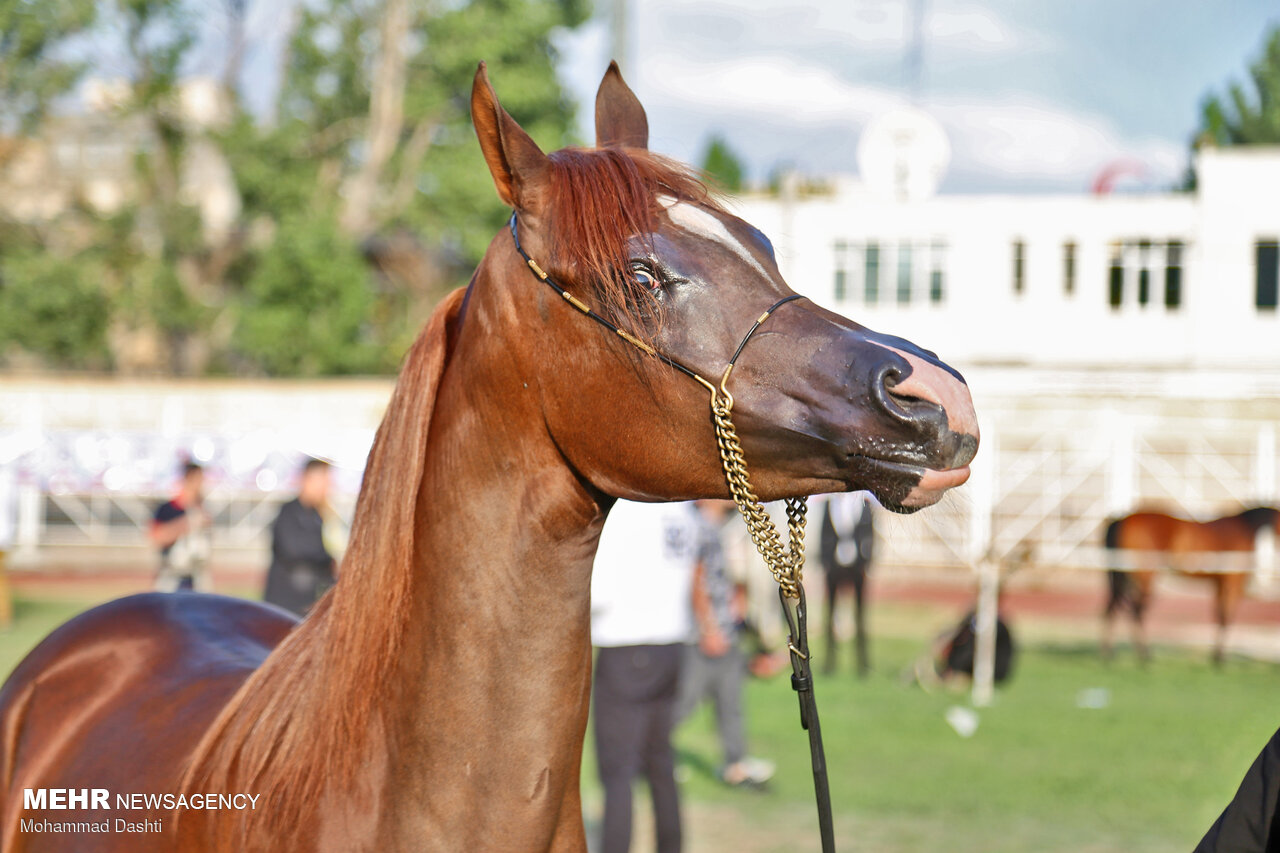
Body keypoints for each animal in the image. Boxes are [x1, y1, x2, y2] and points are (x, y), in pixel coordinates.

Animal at [1100, 504, 1280, 666]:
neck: (1245, 528)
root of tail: (1121, 519)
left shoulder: (1220, 583)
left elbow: (1219, 614)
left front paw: (1215, 657)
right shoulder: (1233, 581)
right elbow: (1226, 617)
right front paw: (1220, 658)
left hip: (1123, 576)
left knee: (1113, 608)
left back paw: (1110, 654)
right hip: (1144, 575)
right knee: (1136, 610)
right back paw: (1144, 655)